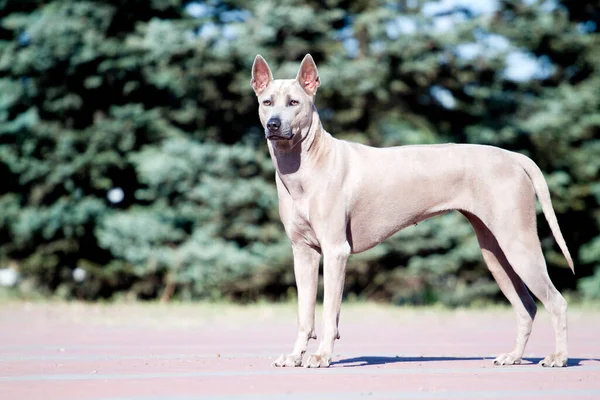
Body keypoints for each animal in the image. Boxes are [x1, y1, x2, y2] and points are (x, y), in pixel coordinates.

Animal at [251, 54, 576, 368]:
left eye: (294, 103)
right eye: (267, 102)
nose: (274, 125)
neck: (307, 164)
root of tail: (514, 157)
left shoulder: (335, 251)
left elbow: (330, 311)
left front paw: (321, 357)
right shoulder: (303, 252)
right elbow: (304, 313)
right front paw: (295, 356)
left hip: (517, 243)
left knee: (556, 302)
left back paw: (558, 357)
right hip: (495, 252)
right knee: (527, 306)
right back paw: (514, 356)